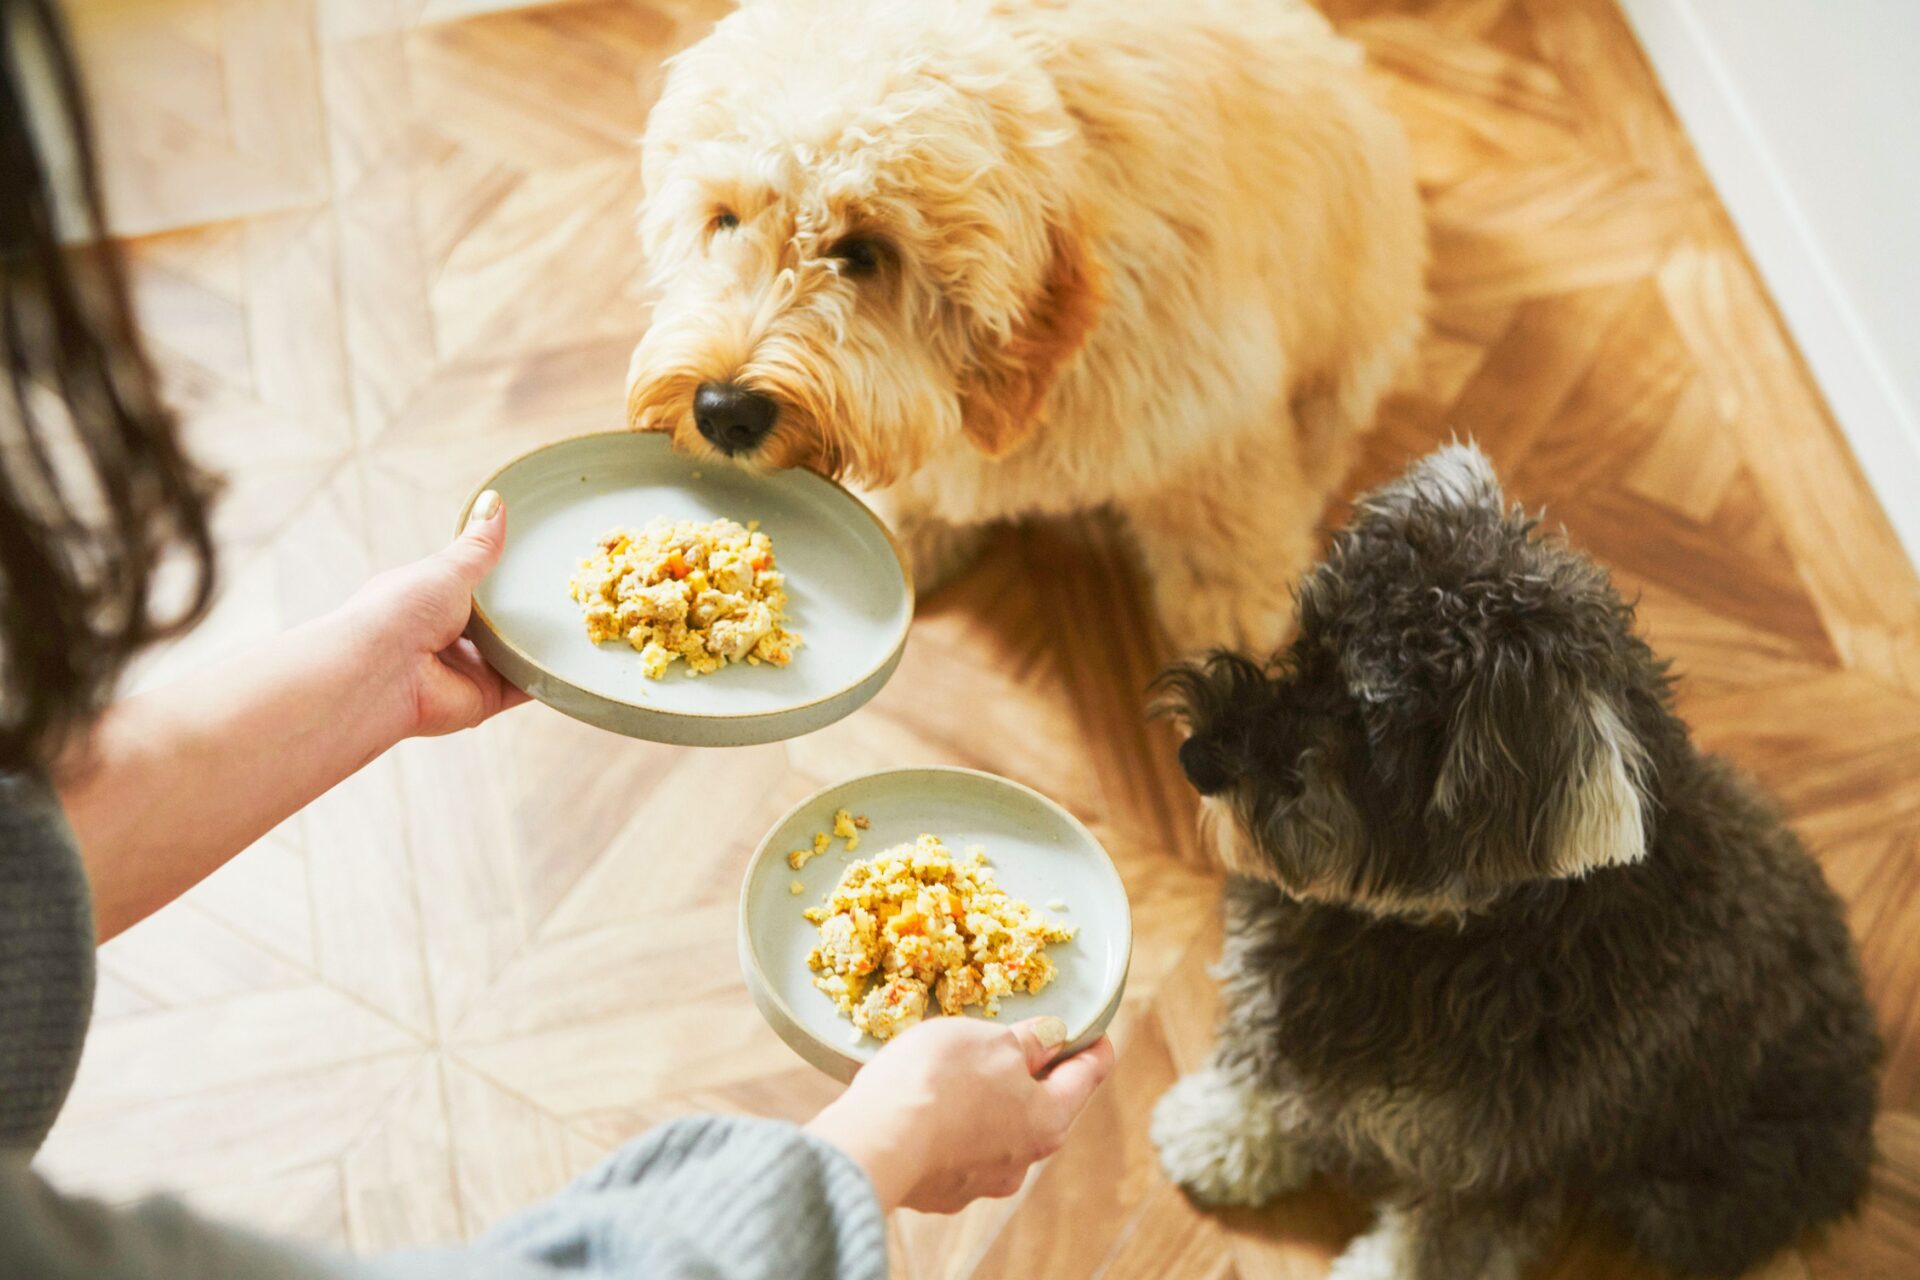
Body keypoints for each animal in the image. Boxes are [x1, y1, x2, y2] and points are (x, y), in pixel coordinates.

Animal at [629, 0, 1428, 644]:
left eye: (864, 251)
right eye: (724, 220)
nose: (724, 411)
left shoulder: (1205, 413)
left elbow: (1224, 527)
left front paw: (1237, 621)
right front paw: (907, 532)